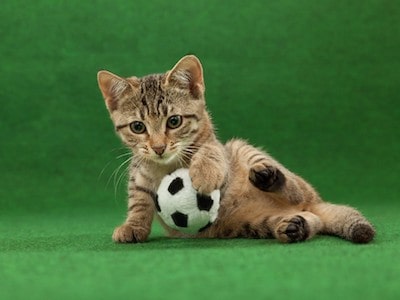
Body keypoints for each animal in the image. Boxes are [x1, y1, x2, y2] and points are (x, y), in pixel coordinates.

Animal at [97, 55, 376, 244]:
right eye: (138, 127)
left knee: (297, 191)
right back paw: (294, 227)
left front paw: (204, 170)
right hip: (248, 224)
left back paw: (269, 178)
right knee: (311, 220)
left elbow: (209, 149)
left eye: (174, 121)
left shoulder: (220, 150)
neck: (167, 166)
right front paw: (133, 226)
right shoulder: (138, 176)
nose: (158, 147)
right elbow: (138, 201)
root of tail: (314, 204)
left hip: (245, 150)